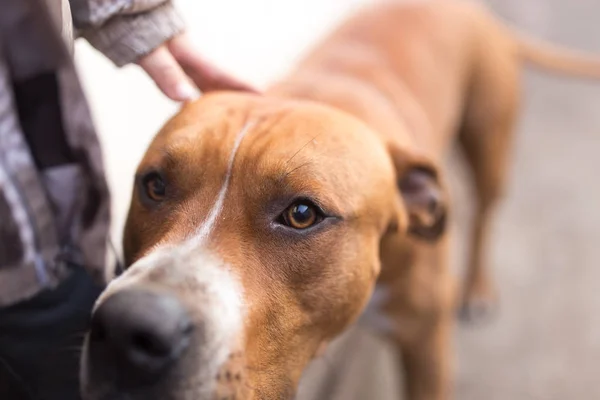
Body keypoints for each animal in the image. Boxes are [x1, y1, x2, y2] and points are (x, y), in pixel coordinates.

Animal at [79, 0, 600, 400]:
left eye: (302, 214)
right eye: (154, 185)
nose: (127, 327)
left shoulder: (426, 344)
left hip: (489, 140)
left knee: (486, 215)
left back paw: (477, 289)